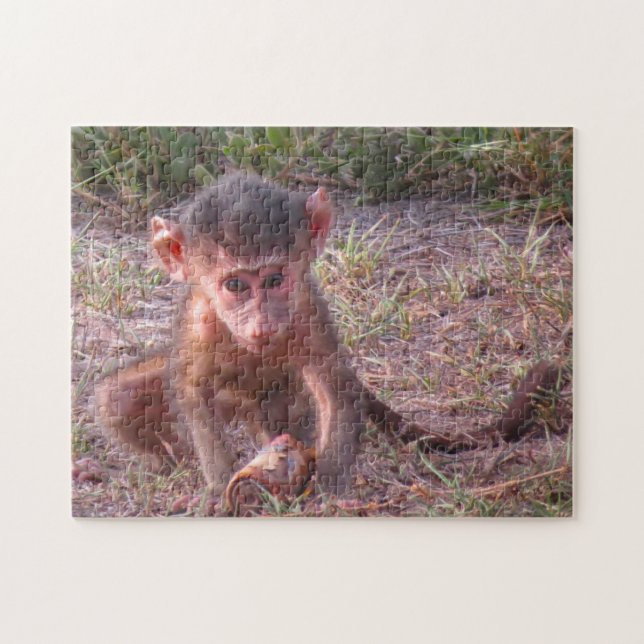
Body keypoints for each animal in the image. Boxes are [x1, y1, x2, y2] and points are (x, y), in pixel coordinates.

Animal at [95, 172, 561, 512]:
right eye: (235, 285)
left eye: (275, 280)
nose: (263, 324)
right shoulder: (199, 325)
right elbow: (191, 392)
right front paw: (219, 488)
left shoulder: (306, 312)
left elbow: (333, 386)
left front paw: (332, 491)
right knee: (119, 396)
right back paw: (173, 465)